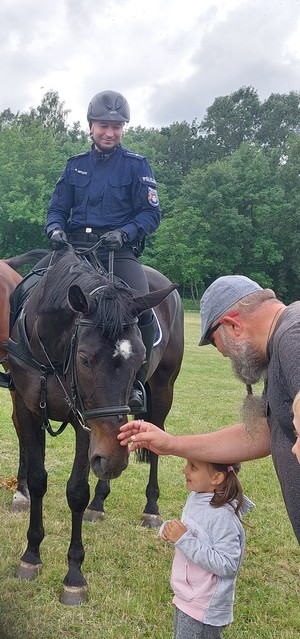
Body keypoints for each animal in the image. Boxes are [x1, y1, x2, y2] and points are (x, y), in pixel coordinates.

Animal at [8, 245, 184, 604]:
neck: (52, 353)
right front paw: (31, 555)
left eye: (139, 355)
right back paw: (99, 503)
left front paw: (74, 575)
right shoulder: (28, 410)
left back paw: (151, 507)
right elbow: (38, 481)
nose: (112, 460)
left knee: (155, 447)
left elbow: (76, 491)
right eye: (85, 358)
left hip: (163, 391)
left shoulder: (84, 423)